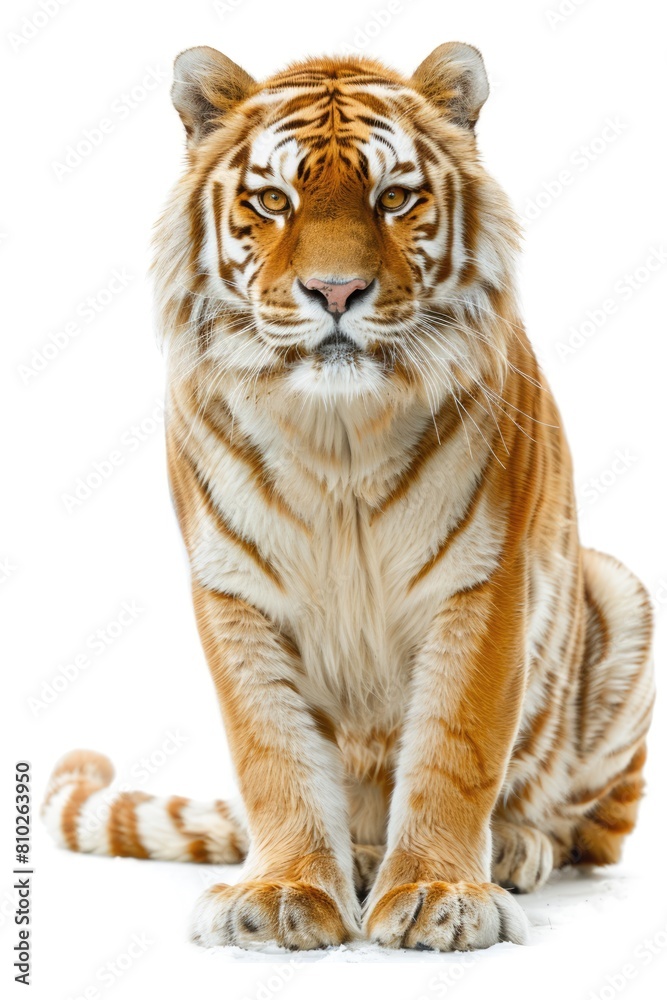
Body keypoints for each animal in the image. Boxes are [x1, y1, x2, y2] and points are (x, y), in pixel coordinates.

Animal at [42, 42, 655, 953]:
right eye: (273, 201)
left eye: (392, 198)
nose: (335, 293)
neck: (335, 438)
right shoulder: (236, 592)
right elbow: (274, 755)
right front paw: (283, 893)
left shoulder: (482, 582)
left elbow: (455, 749)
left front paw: (439, 894)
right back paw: (361, 858)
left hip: (619, 592)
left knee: (587, 831)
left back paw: (511, 848)